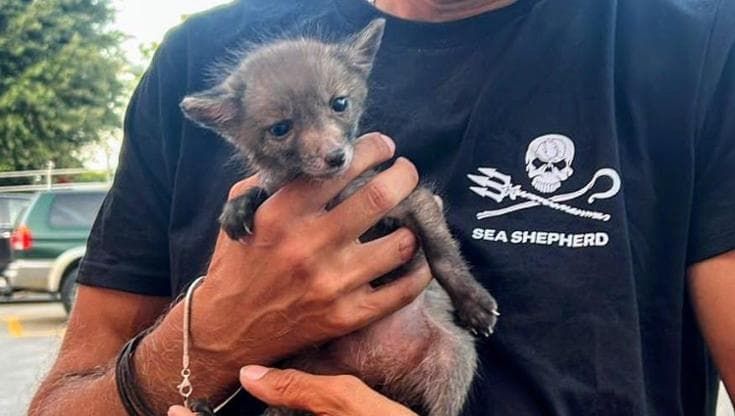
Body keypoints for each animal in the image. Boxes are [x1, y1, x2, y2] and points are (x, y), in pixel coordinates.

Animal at [180, 19, 499, 416]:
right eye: (280, 128)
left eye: (339, 104)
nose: (335, 157)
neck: (329, 196)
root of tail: (377, 371)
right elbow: (262, 190)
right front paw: (238, 207)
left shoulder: (413, 201)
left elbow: (443, 255)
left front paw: (473, 303)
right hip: (302, 365)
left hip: (453, 360)